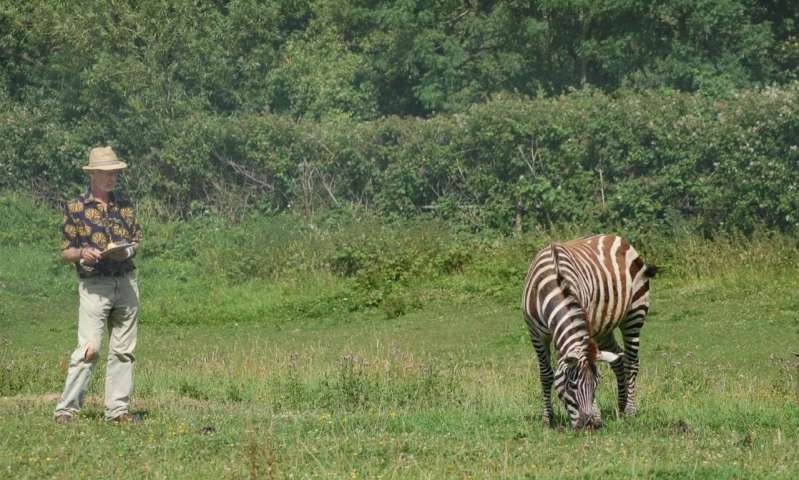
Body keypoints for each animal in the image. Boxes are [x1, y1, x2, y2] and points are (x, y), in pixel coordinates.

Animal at [521, 234, 655, 429]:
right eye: (571, 384)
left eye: (597, 385)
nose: (590, 425)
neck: (552, 286)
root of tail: (615, 237)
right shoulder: (535, 333)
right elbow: (546, 374)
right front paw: (547, 419)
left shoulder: (584, 319)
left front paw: (597, 414)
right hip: (604, 329)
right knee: (618, 359)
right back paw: (621, 407)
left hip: (634, 314)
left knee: (631, 361)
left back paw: (630, 410)